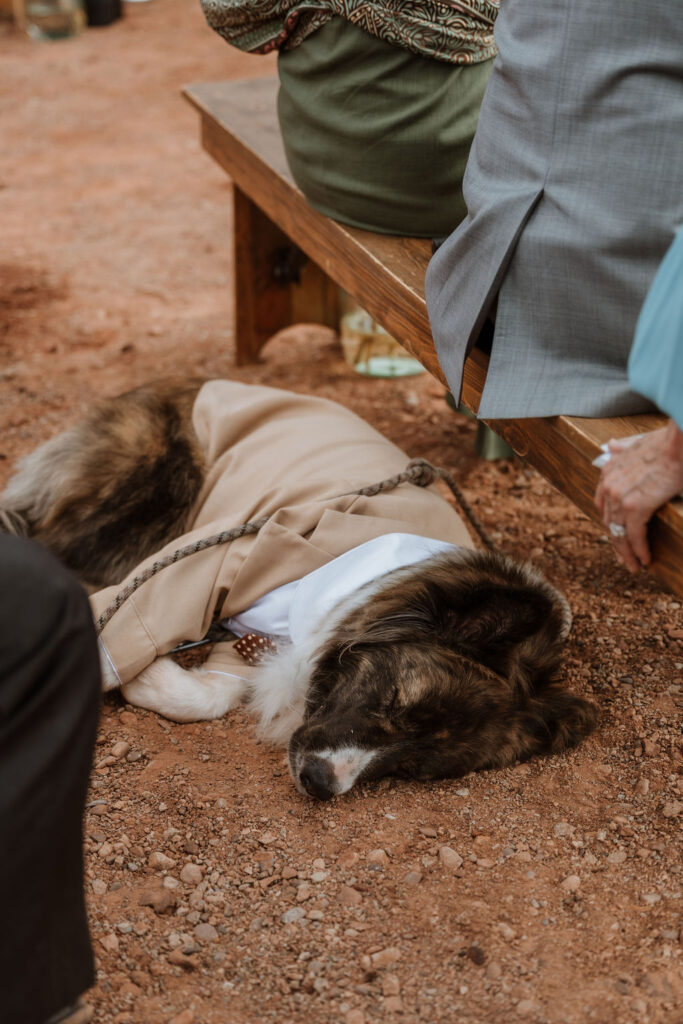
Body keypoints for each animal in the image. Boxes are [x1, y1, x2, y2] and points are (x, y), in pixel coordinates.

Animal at [0, 378, 593, 798]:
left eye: (413, 766)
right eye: (394, 700)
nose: (320, 784)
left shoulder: (250, 643)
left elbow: (211, 693)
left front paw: (154, 679)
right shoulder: (208, 560)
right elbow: (123, 628)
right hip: (151, 497)